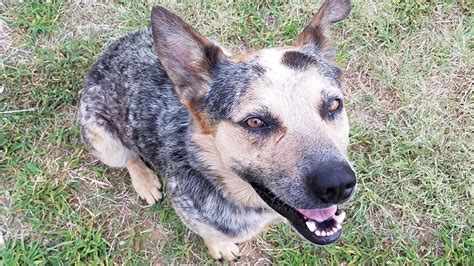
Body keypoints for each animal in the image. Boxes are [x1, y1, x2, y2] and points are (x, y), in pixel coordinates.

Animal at [78, 0, 356, 262]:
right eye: (255, 122)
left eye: (333, 105)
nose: (338, 185)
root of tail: (111, 50)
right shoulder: (191, 213)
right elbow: (211, 234)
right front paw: (220, 247)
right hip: (104, 142)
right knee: (130, 157)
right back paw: (144, 180)